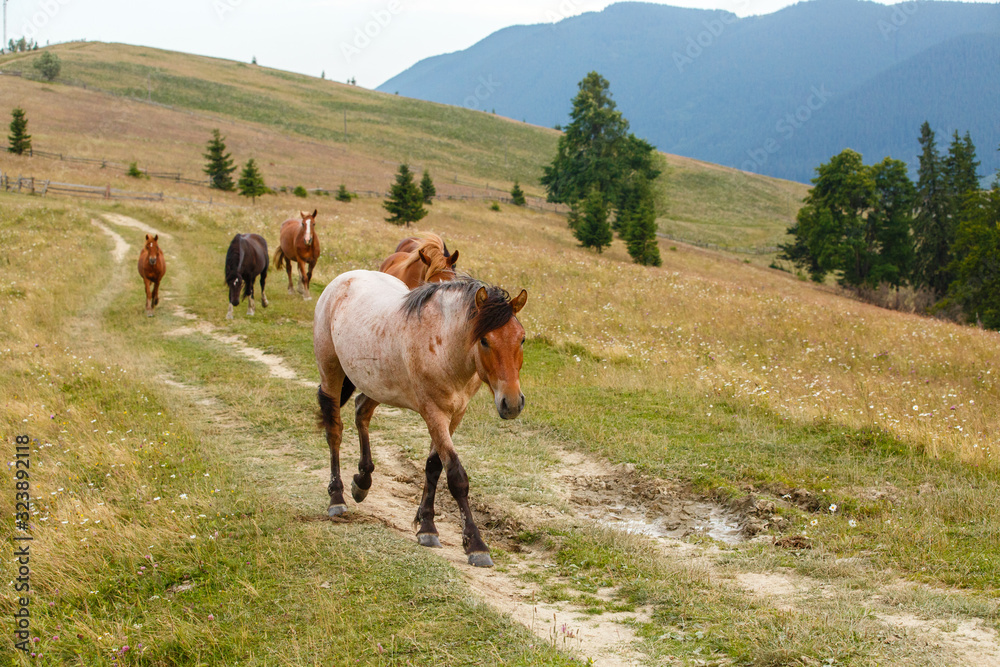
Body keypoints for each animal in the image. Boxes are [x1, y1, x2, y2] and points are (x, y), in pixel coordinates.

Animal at [313, 271, 527, 567]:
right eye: (485, 340)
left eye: (522, 339)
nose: (512, 403)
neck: (444, 345)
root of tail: (344, 279)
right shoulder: (434, 413)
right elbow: (456, 476)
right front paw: (475, 544)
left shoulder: (455, 414)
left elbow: (433, 467)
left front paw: (426, 526)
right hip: (331, 372)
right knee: (334, 430)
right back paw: (336, 497)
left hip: (378, 383)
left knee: (361, 411)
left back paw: (363, 481)